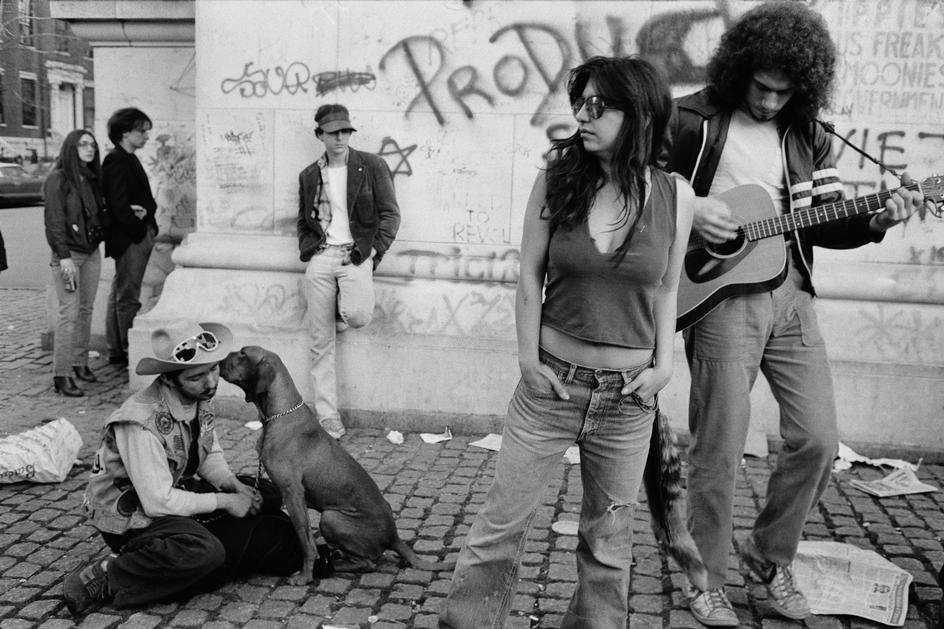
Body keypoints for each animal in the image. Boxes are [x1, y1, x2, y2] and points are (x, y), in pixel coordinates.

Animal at [221, 346, 458, 580]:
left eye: (243, 354)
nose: (218, 359)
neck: (281, 414)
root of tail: (393, 537)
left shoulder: (293, 493)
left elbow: (305, 541)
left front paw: (305, 576)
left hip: (330, 517)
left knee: (367, 563)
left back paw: (332, 565)